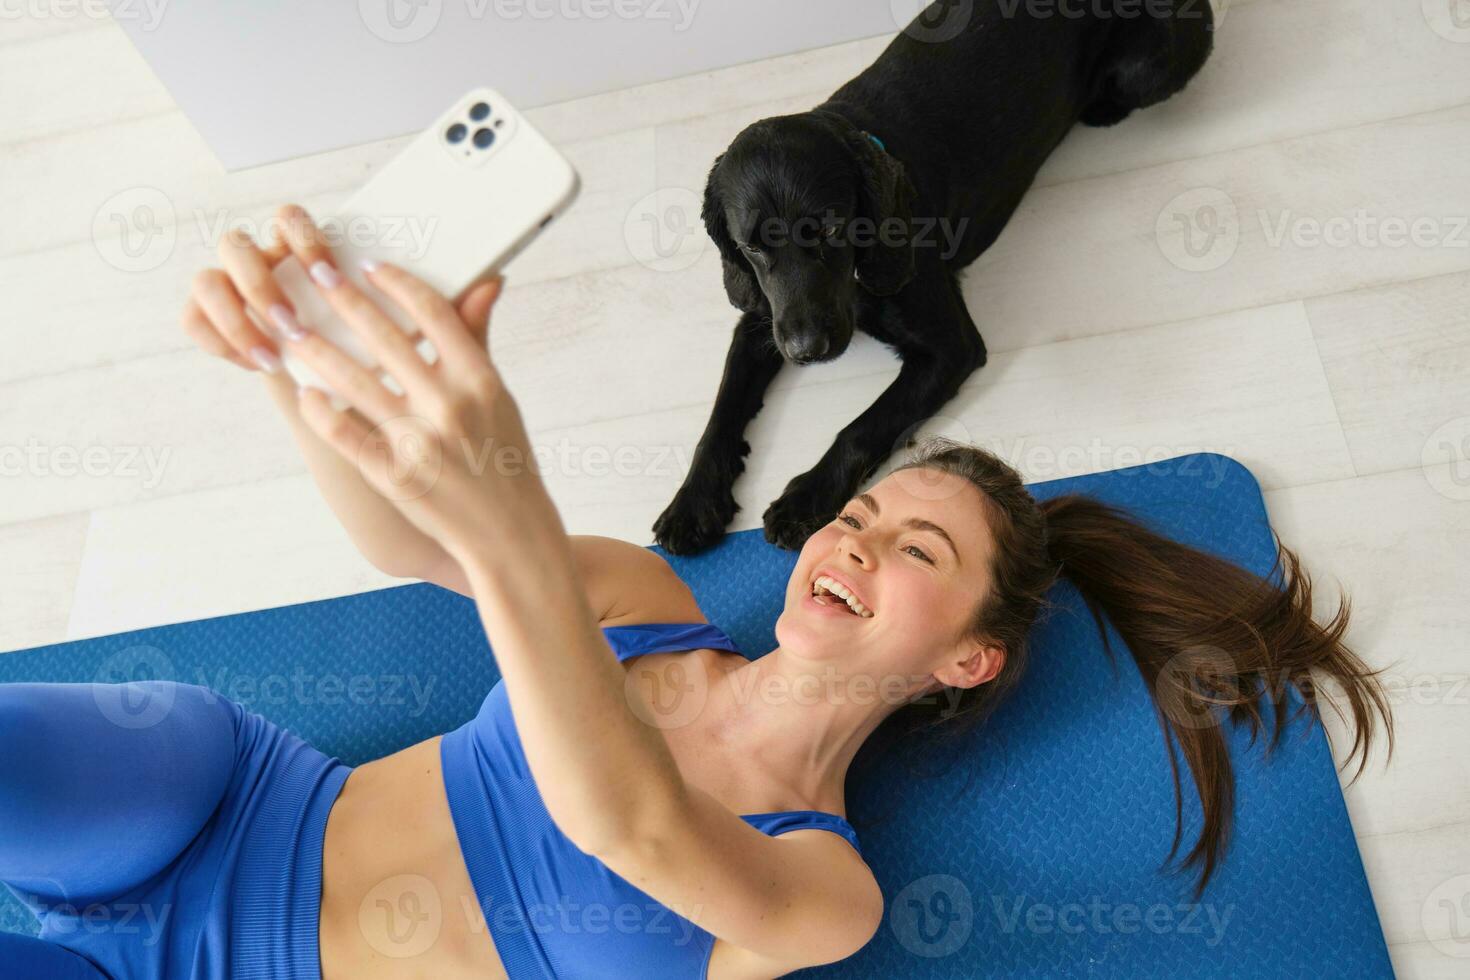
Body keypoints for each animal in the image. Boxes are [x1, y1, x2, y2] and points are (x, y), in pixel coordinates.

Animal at [655, 0, 1217, 552]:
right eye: (750, 245)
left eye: (833, 226)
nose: (805, 351)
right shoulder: (762, 318)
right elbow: (721, 411)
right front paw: (692, 503)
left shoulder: (951, 348)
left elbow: (863, 425)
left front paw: (806, 499)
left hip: (1144, 69)